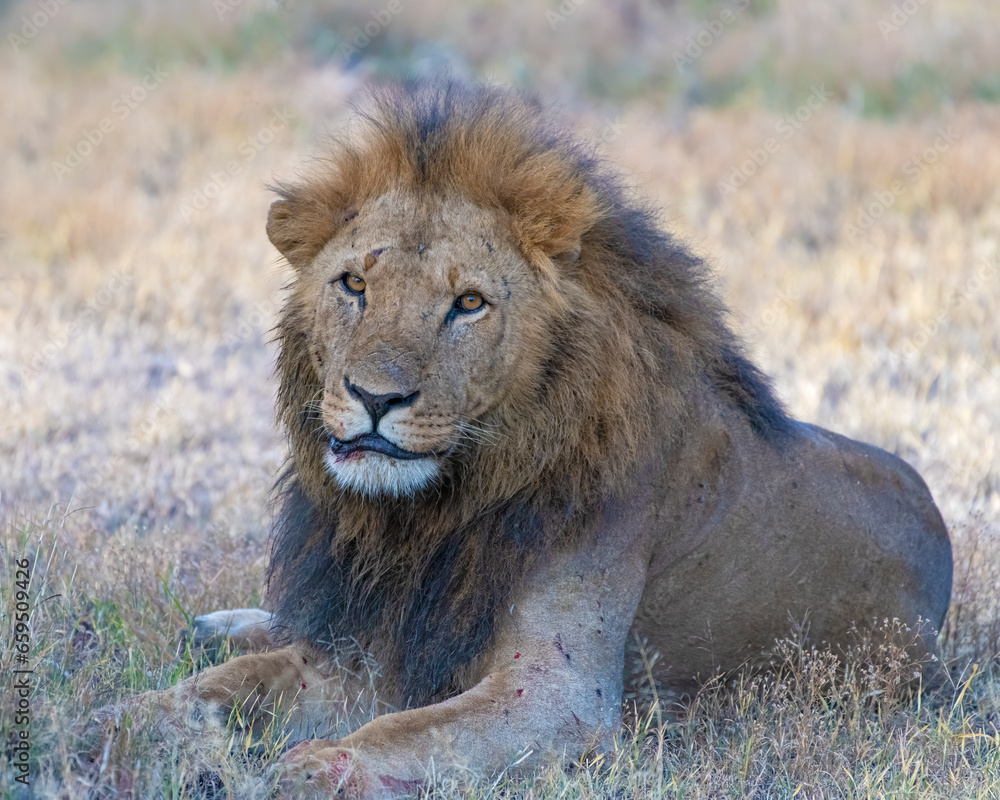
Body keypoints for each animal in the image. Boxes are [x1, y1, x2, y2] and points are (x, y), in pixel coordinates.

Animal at [127, 83, 952, 800]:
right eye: (354, 285)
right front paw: (128, 722)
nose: (375, 398)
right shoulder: (391, 641)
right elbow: (230, 685)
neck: (433, 516)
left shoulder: (556, 694)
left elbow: (410, 733)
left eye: (468, 304)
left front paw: (311, 770)